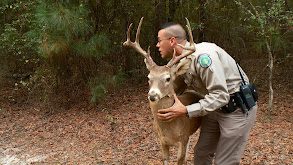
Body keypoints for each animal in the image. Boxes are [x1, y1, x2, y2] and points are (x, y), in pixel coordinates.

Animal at [122, 17, 202, 164]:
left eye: (168, 78)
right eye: (148, 77)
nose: (152, 95)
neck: (169, 130)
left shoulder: (182, 140)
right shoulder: (162, 142)